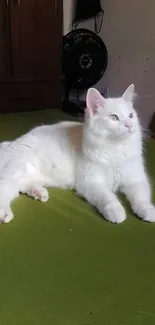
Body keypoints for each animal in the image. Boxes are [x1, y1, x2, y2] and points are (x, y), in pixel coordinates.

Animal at [0, 84, 155, 223]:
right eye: (114, 117)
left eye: (131, 115)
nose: (129, 125)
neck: (115, 149)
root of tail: (10, 144)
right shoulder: (92, 182)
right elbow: (108, 198)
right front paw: (116, 213)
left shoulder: (136, 179)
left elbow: (141, 198)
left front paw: (147, 211)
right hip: (18, 169)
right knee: (6, 188)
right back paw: (5, 213)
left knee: (20, 186)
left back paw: (39, 193)